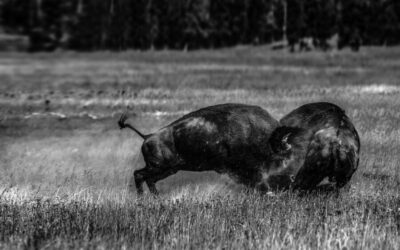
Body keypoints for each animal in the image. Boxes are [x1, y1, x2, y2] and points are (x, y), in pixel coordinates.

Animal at [119, 103, 282, 195]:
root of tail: (148, 136)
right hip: (159, 167)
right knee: (139, 175)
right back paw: (143, 198)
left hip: (168, 169)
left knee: (148, 179)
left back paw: (156, 198)